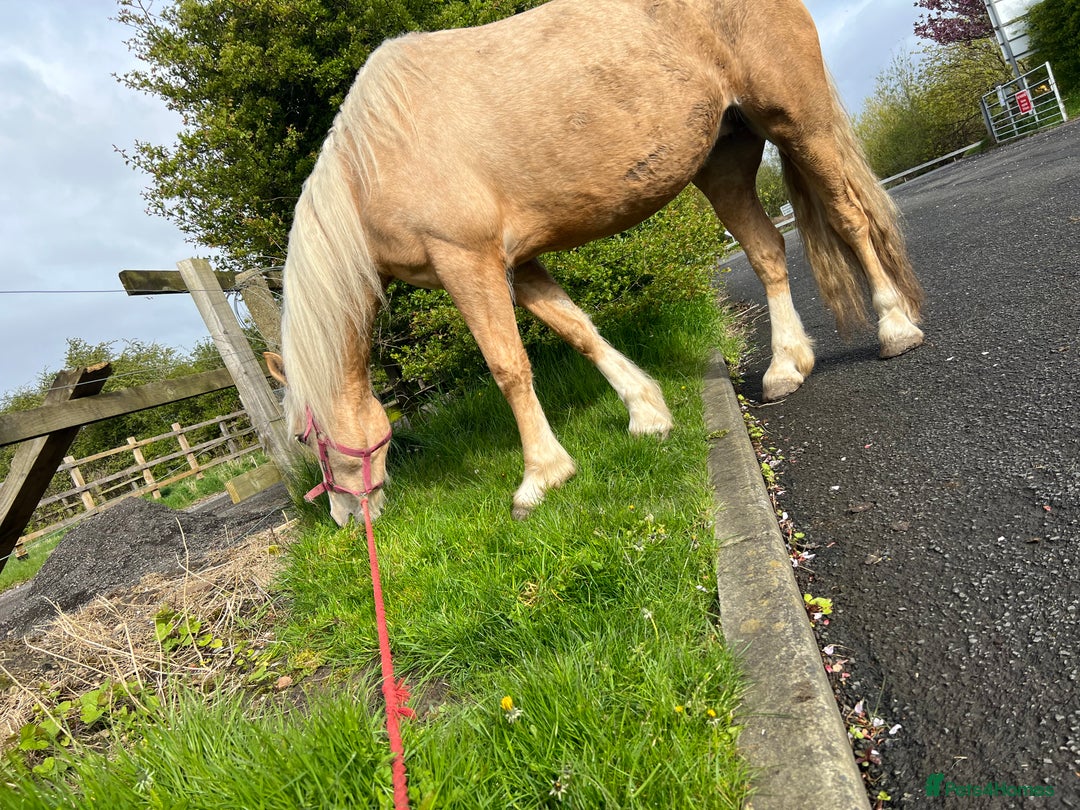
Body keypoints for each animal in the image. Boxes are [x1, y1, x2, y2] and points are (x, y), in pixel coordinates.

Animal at [264, 0, 926, 526]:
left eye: (302, 436)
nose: (346, 519)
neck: (374, 163)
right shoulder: (520, 263)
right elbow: (578, 331)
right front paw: (646, 413)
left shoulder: (467, 263)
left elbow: (508, 366)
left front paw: (541, 476)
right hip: (725, 158)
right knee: (766, 252)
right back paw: (786, 365)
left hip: (798, 123)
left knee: (850, 220)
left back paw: (894, 326)